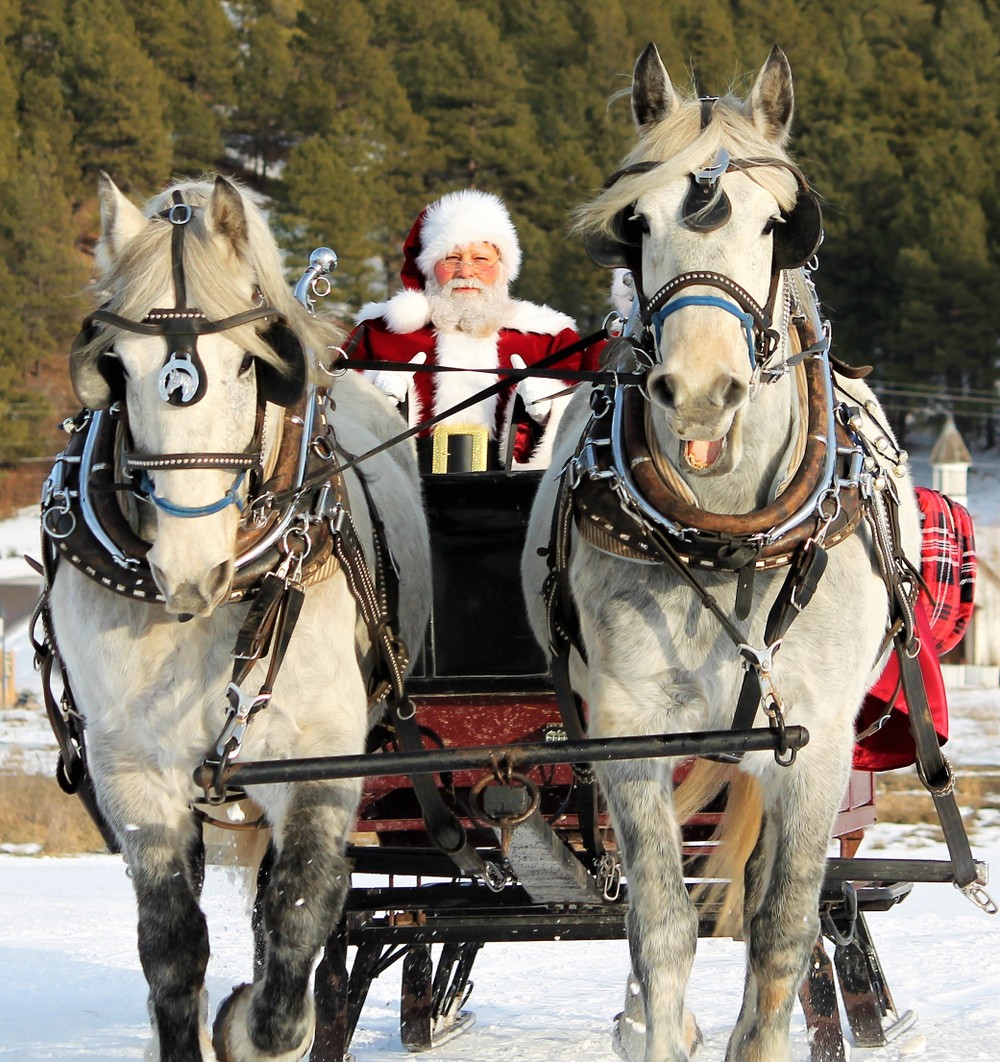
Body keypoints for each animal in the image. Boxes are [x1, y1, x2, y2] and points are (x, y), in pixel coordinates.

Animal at [45, 176, 430, 1062]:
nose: (189, 571)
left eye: (252, 364)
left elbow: (298, 919)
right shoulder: (132, 771)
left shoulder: (321, 758)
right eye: (116, 369)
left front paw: (257, 1023)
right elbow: (172, 948)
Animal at [524, 45, 925, 1057]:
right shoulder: (630, 728)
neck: (727, 538)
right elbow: (662, 924)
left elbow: (782, 935)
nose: (703, 390)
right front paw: (657, 1024)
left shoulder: (815, 745)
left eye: (782, 226)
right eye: (636, 224)